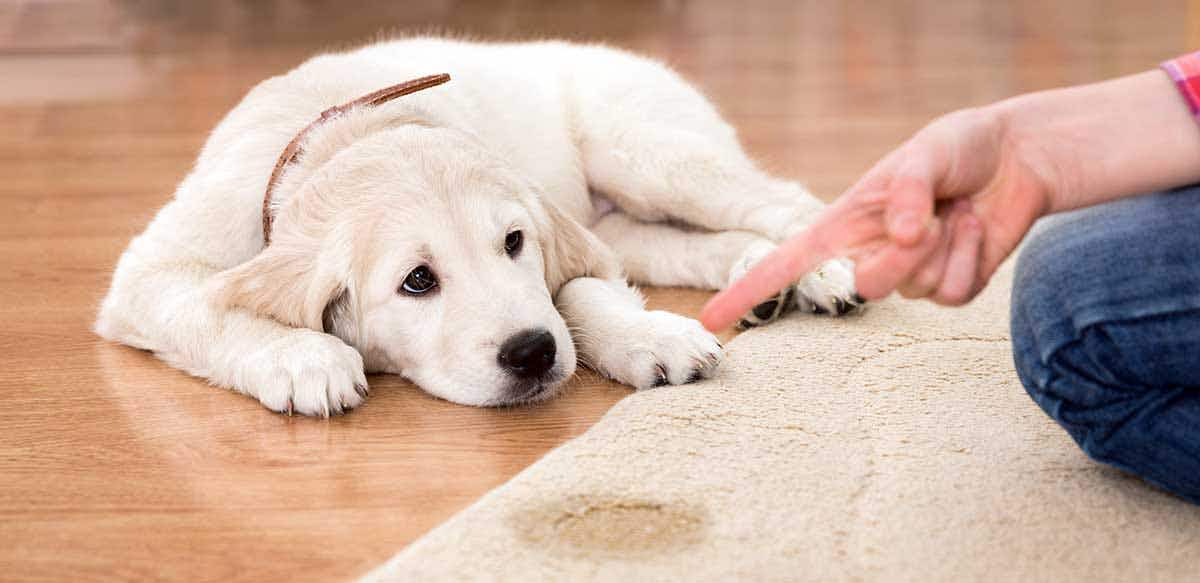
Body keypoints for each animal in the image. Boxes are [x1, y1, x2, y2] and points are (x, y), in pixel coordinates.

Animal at [96, 37, 864, 415]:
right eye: (417, 281)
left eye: (513, 243)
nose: (532, 354)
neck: (345, 131)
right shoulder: (149, 274)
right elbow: (208, 308)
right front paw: (302, 357)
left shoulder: (562, 239)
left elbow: (578, 293)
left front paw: (648, 336)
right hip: (626, 217)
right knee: (693, 241)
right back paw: (758, 278)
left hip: (646, 150)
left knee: (782, 199)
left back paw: (824, 271)